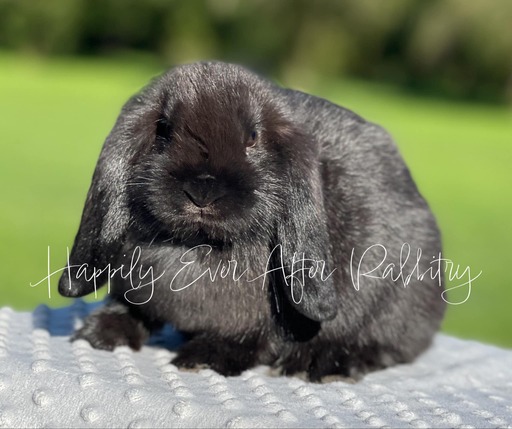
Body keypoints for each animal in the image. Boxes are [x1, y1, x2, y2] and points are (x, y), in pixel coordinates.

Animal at [59, 61, 444, 382]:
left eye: (253, 138)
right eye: (163, 130)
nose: (203, 189)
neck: (199, 246)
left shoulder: (265, 319)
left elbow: (255, 338)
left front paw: (206, 357)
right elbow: (131, 309)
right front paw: (100, 331)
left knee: (382, 345)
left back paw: (322, 364)